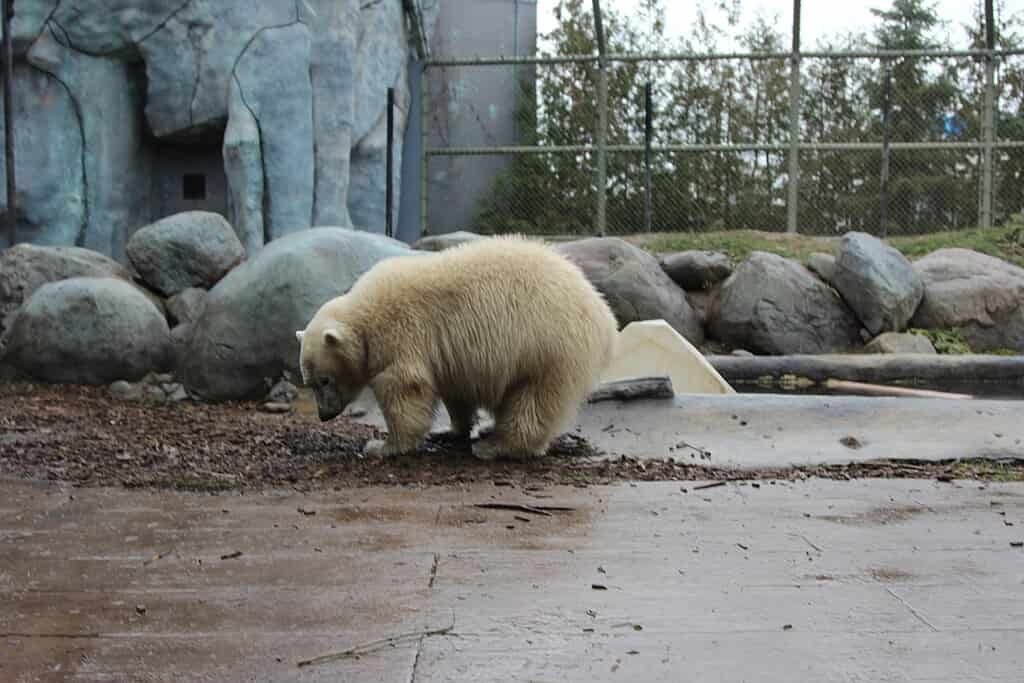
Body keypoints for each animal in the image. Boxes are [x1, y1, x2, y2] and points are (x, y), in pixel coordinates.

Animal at [294, 233, 614, 458]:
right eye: (309, 382)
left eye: (324, 380)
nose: (324, 415)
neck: (365, 313)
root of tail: (602, 314)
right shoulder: (450, 354)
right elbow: (456, 390)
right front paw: (450, 431)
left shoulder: (403, 332)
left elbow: (404, 387)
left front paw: (382, 446)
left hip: (547, 347)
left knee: (533, 399)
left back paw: (496, 446)